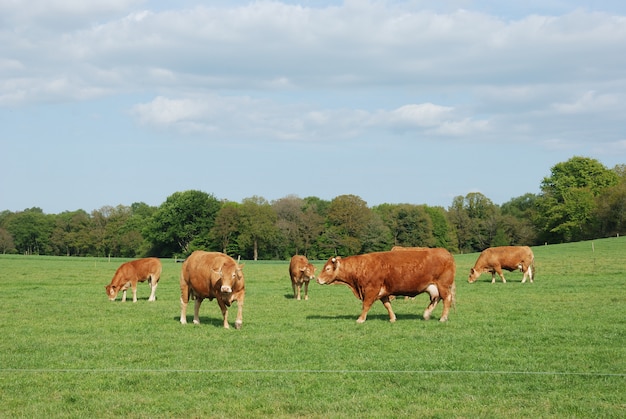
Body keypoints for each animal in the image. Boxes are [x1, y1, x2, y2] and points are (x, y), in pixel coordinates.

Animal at [316, 249, 454, 324]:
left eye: (327, 268)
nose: (317, 279)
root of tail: (445, 252)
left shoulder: (371, 290)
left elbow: (366, 305)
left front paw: (360, 319)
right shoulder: (383, 293)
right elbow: (388, 306)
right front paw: (393, 318)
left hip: (443, 285)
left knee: (446, 299)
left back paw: (443, 318)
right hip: (434, 287)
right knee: (436, 299)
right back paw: (426, 314)